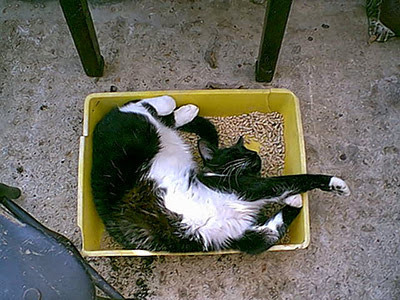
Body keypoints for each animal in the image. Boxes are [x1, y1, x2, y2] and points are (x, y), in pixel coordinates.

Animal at [91, 95, 350, 253]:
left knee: (155, 115)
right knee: (137, 106)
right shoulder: (248, 188)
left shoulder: (246, 238)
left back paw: (186, 111)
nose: (256, 156)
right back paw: (171, 103)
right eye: (238, 152)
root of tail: (94, 131)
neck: (214, 177)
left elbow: (274, 229)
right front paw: (336, 183)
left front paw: (294, 201)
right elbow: (294, 180)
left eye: (250, 149)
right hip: (140, 133)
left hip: (156, 131)